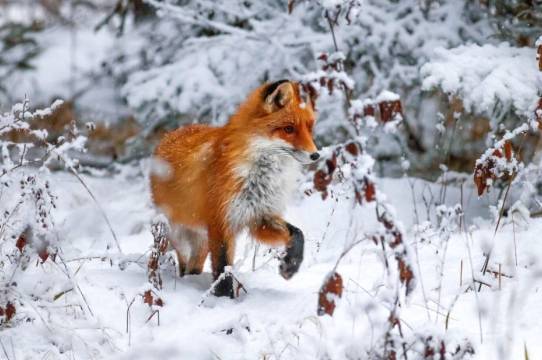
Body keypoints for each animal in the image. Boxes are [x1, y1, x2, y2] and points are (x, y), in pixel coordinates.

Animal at [150, 80, 318, 296]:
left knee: (193, 268)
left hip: (202, 242)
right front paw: (224, 299)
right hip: (182, 235)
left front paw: (291, 264)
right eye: (288, 129)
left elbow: (297, 233)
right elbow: (223, 269)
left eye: (309, 128)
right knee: (183, 263)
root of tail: (170, 134)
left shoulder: (259, 216)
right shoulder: (221, 222)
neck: (259, 177)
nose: (316, 155)